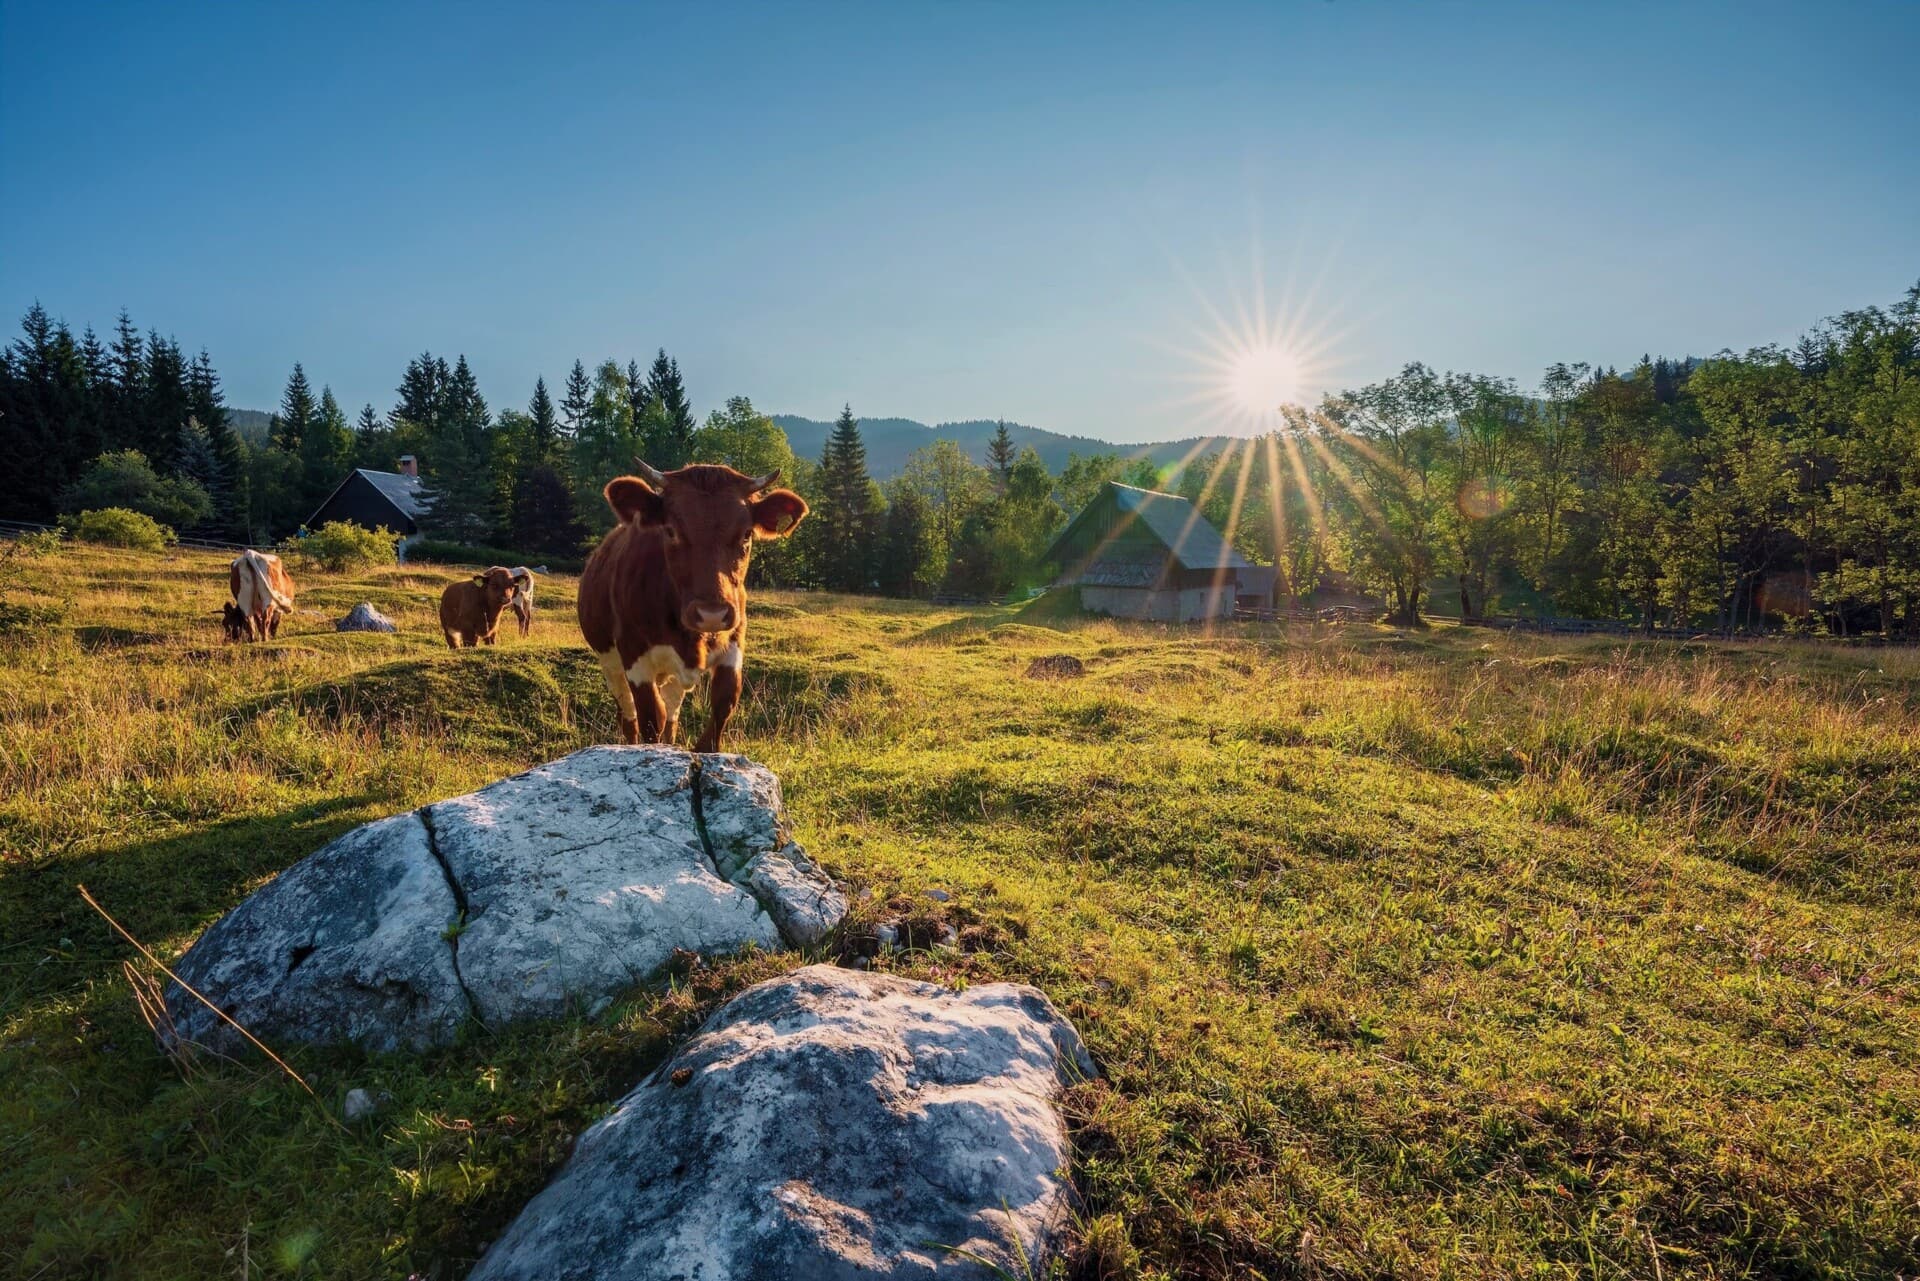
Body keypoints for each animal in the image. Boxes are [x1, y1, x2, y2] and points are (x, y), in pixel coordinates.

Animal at [577, 461, 807, 751]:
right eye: (671, 530)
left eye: (746, 534)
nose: (711, 614)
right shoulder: (633, 654)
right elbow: (650, 716)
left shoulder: (734, 640)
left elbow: (723, 703)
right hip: (610, 664)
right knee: (628, 715)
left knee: (672, 712)